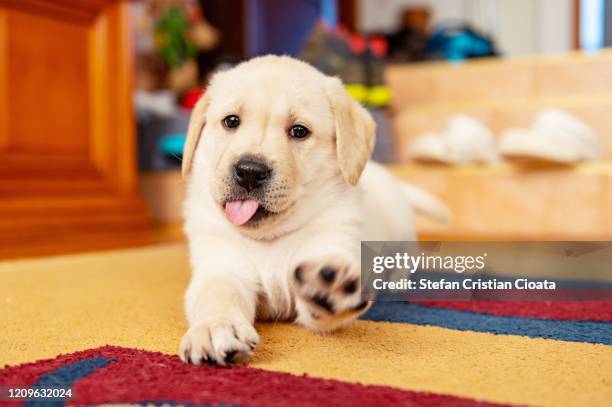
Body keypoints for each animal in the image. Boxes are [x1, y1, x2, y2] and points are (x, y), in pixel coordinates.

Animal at [179, 55, 448, 366]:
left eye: (299, 131)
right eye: (231, 121)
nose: (249, 172)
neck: (269, 238)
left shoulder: (333, 241)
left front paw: (329, 289)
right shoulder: (221, 266)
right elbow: (217, 294)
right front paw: (215, 327)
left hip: (402, 231)